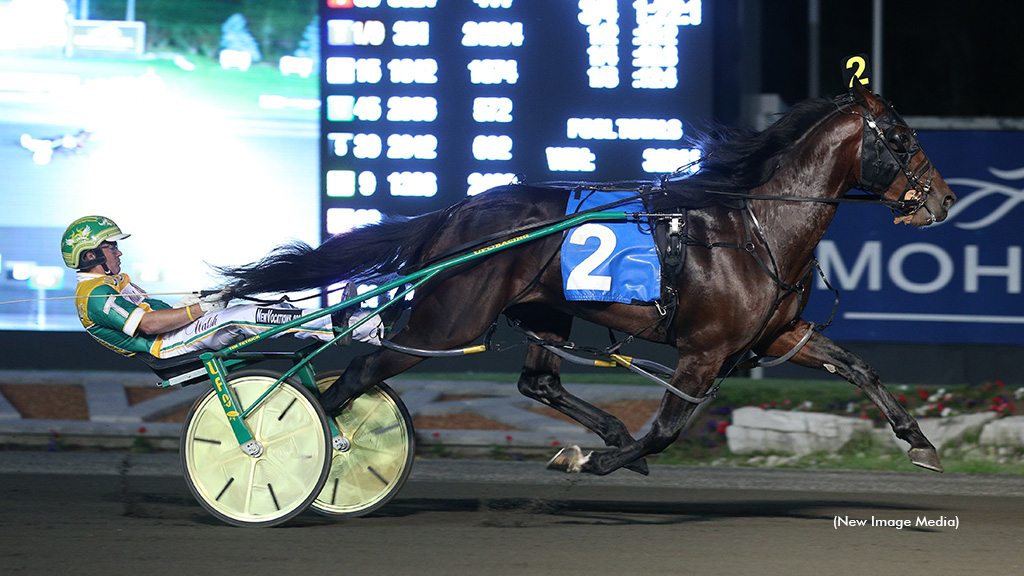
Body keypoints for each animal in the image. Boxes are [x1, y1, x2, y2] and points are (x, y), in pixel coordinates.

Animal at [218, 83, 958, 473]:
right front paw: (601, 461)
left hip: (542, 311)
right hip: (448, 319)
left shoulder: (780, 334)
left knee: (537, 381)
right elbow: (667, 428)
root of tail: (458, 211)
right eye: (900, 136)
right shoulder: (704, 351)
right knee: (359, 373)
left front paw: (920, 442)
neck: (756, 229)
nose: (945, 199)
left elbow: (859, 367)